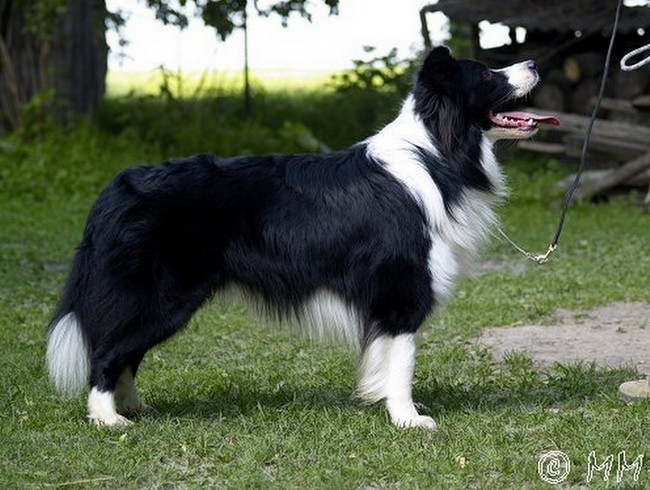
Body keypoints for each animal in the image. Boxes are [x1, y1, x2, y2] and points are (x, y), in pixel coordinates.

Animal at [46, 47, 558, 429]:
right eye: (488, 75)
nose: (536, 63)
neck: (436, 152)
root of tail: (116, 188)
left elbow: (383, 357)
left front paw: (382, 402)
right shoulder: (402, 289)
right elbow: (403, 359)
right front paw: (408, 418)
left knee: (126, 352)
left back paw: (134, 407)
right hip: (160, 293)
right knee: (107, 351)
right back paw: (108, 418)